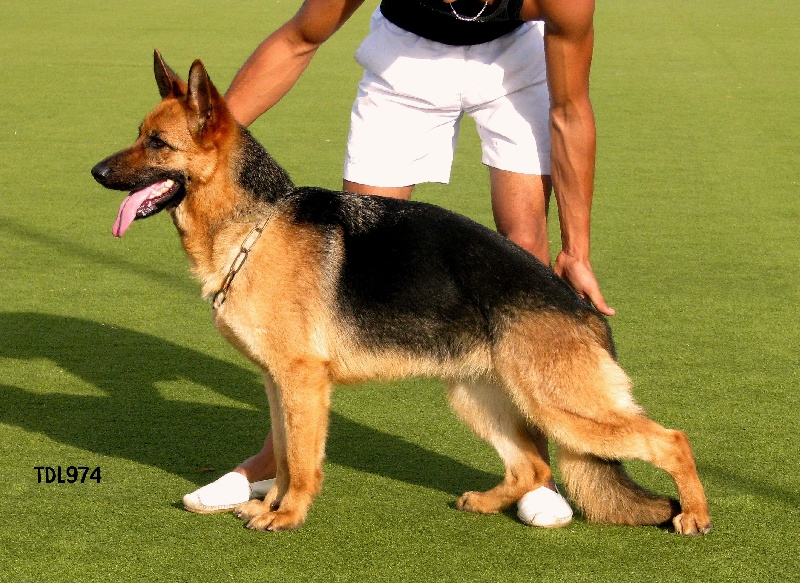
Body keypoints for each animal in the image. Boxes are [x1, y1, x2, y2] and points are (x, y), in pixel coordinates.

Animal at [92, 52, 712, 536]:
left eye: (158, 144)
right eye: (138, 134)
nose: (95, 172)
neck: (257, 224)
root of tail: (582, 306)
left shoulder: (303, 383)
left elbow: (304, 463)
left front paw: (287, 516)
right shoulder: (278, 383)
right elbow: (287, 458)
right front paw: (268, 504)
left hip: (560, 406)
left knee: (671, 439)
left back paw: (695, 515)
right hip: (476, 398)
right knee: (532, 467)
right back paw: (487, 502)